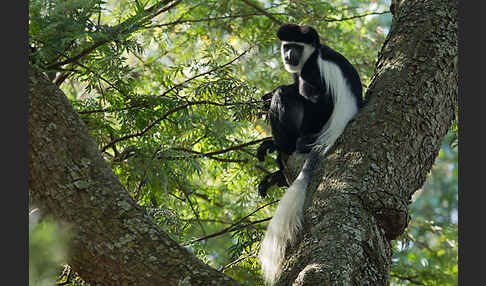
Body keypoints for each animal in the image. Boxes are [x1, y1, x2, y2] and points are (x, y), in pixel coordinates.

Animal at [258, 24, 364, 284]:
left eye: (296, 47)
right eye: (287, 46)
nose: (288, 56)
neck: (313, 54)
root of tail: (329, 137)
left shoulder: (313, 70)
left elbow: (318, 100)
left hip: (314, 124)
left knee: (290, 96)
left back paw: (285, 145)